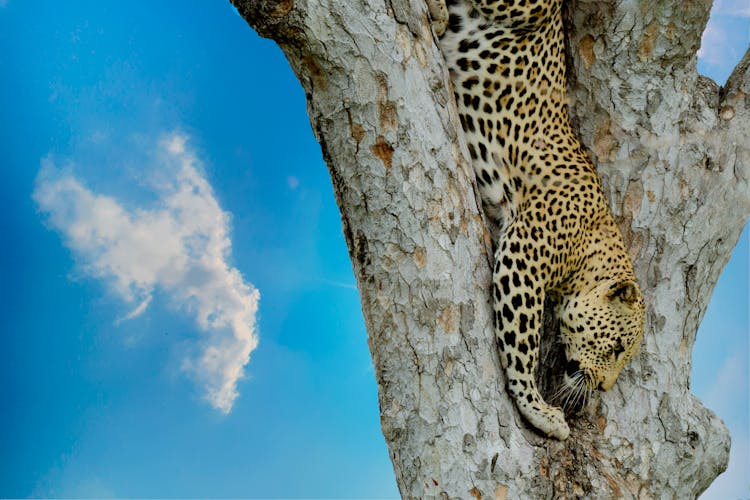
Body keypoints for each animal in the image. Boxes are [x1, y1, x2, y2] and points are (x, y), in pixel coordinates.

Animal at [428, 0, 648, 438]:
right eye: (616, 347)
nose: (604, 386)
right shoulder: (525, 255)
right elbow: (522, 343)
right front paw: (538, 409)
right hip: (527, 8)